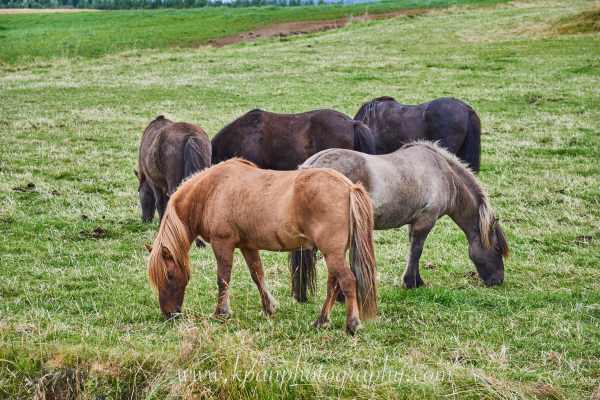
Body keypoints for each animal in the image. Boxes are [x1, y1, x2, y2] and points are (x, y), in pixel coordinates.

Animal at [145, 159, 376, 334]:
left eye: (169, 275)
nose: (169, 314)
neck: (212, 190)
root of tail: (348, 187)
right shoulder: (248, 246)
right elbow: (257, 275)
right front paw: (269, 308)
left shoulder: (223, 244)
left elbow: (223, 279)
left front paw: (222, 312)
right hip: (333, 254)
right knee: (333, 284)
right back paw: (321, 320)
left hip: (332, 253)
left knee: (347, 281)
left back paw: (352, 324)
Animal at [292, 142, 508, 302]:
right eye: (497, 248)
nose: (498, 281)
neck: (444, 174)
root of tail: (313, 165)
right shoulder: (425, 221)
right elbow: (417, 251)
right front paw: (412, 282)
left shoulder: (415, 223)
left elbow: (413, 250)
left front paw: (415, 280)